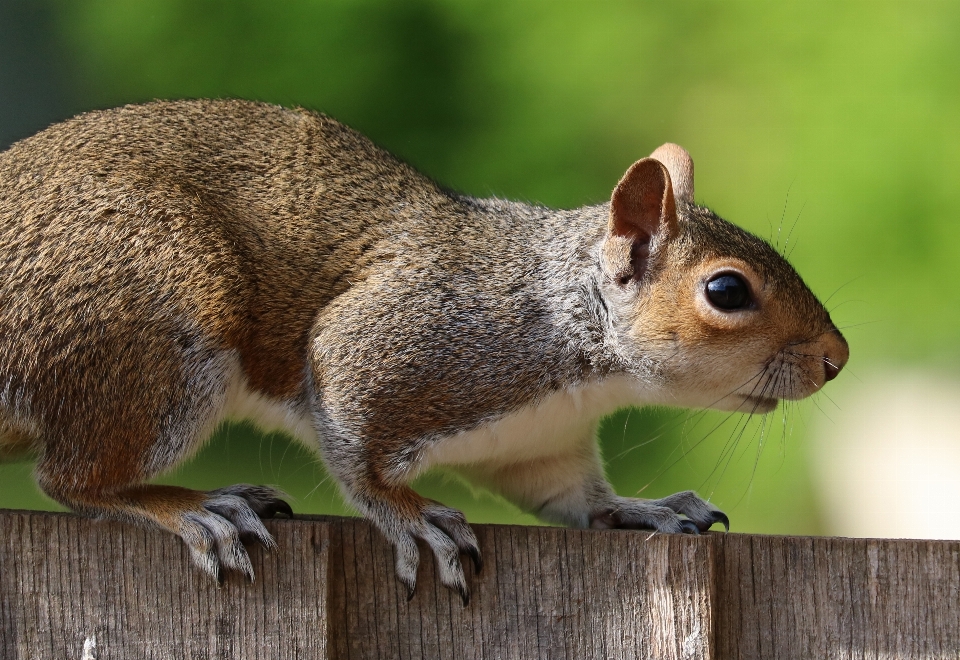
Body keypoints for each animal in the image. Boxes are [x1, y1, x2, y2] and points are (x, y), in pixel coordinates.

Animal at [0, 99, 848, 604]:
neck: (570, 329)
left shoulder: (538, 445)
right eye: (727, 291)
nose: (836, 358)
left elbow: (578, 500)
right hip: (156, 320)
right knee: (73, 478)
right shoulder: (400, 340)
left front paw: (645, 508)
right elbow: (358, 450)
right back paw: (193, 507)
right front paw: (409, 516)